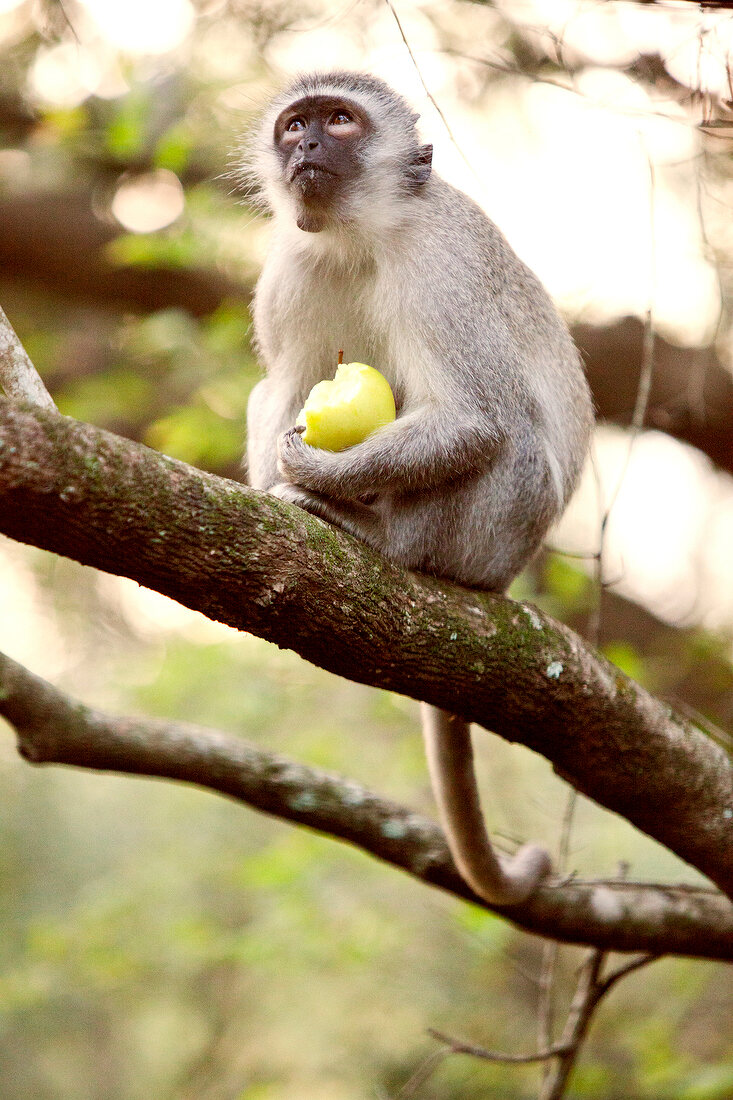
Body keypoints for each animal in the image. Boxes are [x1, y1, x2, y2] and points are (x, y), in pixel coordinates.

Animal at [242, 73, 589, 906]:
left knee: (510, 435)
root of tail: (500, 576)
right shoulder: (288, 275)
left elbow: (476, 419)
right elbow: (286, 387)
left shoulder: (442, 266)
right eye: (295, 124)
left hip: (491, 535)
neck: (359, 237)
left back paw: (381, 538)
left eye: (340, 121)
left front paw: (322, 477)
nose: (306, 144)